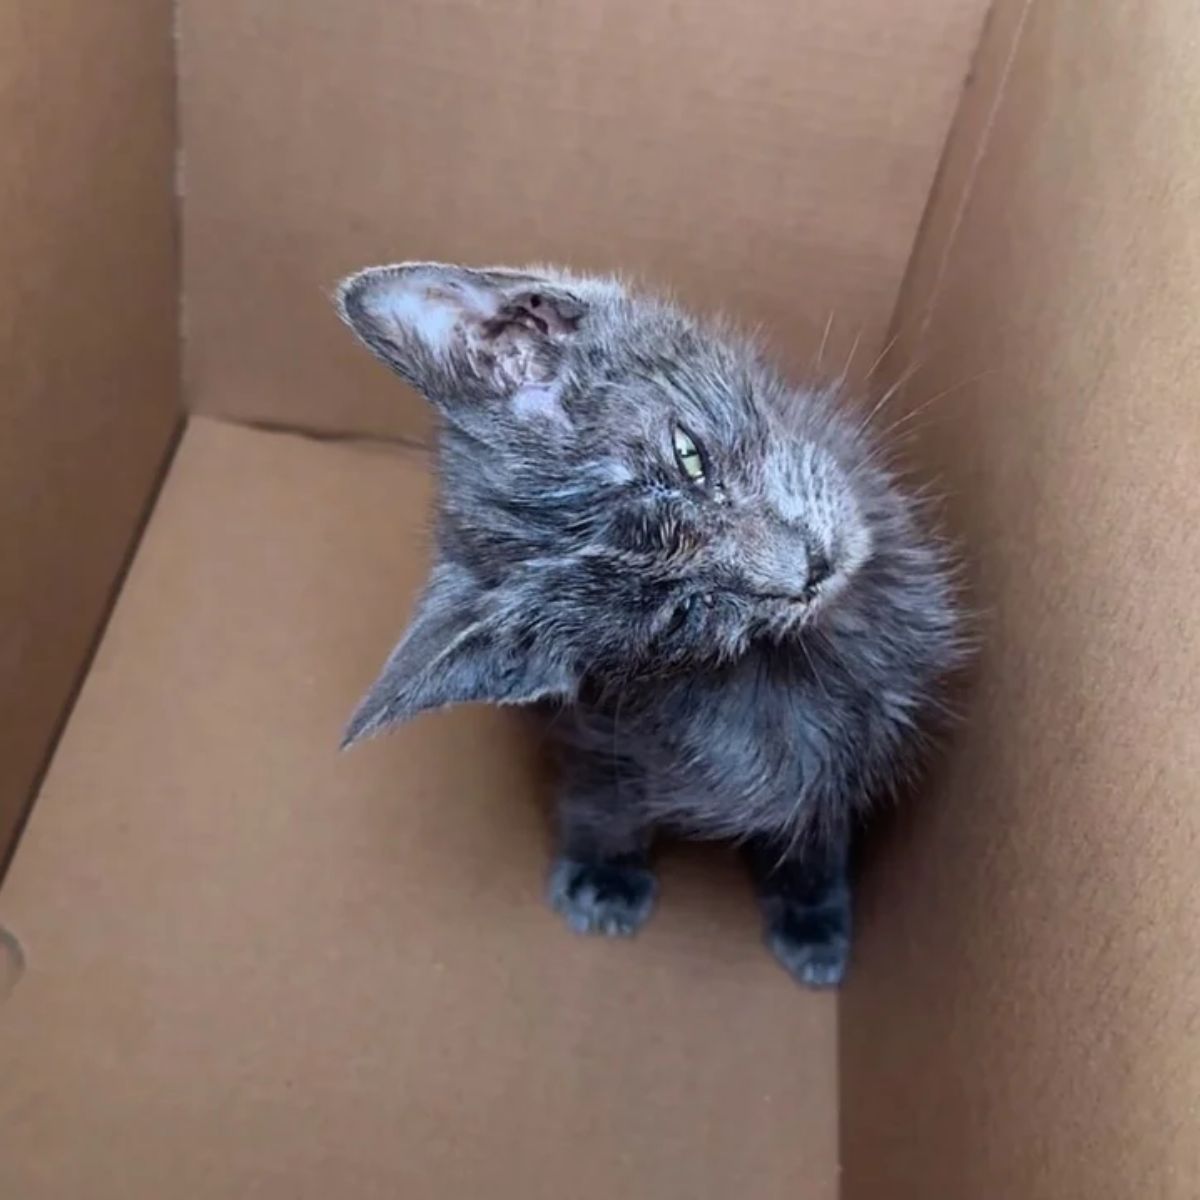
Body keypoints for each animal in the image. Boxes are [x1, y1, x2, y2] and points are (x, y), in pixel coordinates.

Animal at [336, 267, 964, 988]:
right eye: (678, 611)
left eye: (689, 455)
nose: (810, 569)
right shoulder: (598, 730)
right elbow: (601, 797)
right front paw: (603, 876)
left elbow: (817, 819)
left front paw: (811, 910)